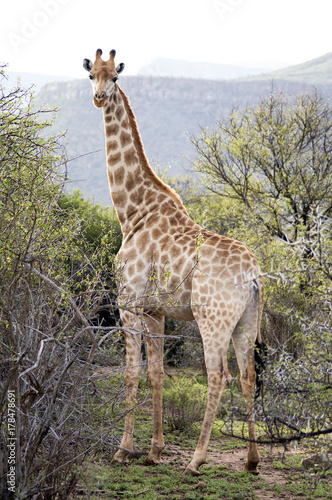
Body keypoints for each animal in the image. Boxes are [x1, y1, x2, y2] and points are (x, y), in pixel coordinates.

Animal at [83, 48, 264, 474]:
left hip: (212, 318)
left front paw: (124, 449)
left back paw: (197, 460)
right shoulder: (155, 310)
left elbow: (130, 373)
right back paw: (251, 460)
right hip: (247, 320)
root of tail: (253, 275)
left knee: (219, 376)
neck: (131, 211)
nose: (98, 98)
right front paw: (154, 450)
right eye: (90, 75)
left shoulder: (128, 302)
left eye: (115, 77)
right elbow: (156, 374)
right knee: (247, 375)